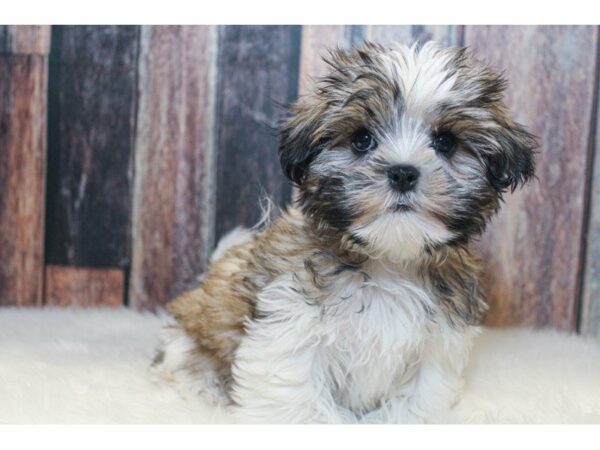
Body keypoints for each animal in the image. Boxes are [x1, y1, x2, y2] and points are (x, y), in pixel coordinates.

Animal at [152, 40, 536, 424]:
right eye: (362, 139)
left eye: (445, 142)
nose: (403, 173)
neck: (389, 261)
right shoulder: (288, 329)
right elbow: (297, 403)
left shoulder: (436, 349)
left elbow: (416, 403)